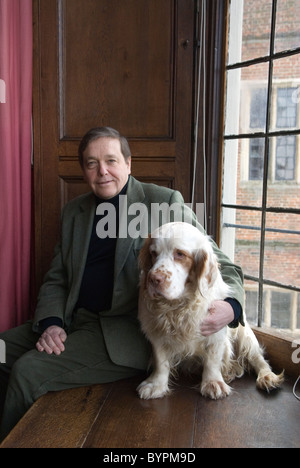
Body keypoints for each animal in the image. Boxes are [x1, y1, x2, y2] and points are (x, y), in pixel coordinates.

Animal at [136, 222, 284, 398]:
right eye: (153, 253)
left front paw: (213, 383)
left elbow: (212, 360)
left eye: (180, 254)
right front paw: (156, 385)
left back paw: (267, 377)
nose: (153, 279)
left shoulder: (216, 327)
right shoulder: (156, 331)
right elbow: (161, 361)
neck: (178, 306)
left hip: (245, 336)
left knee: (258, 358)